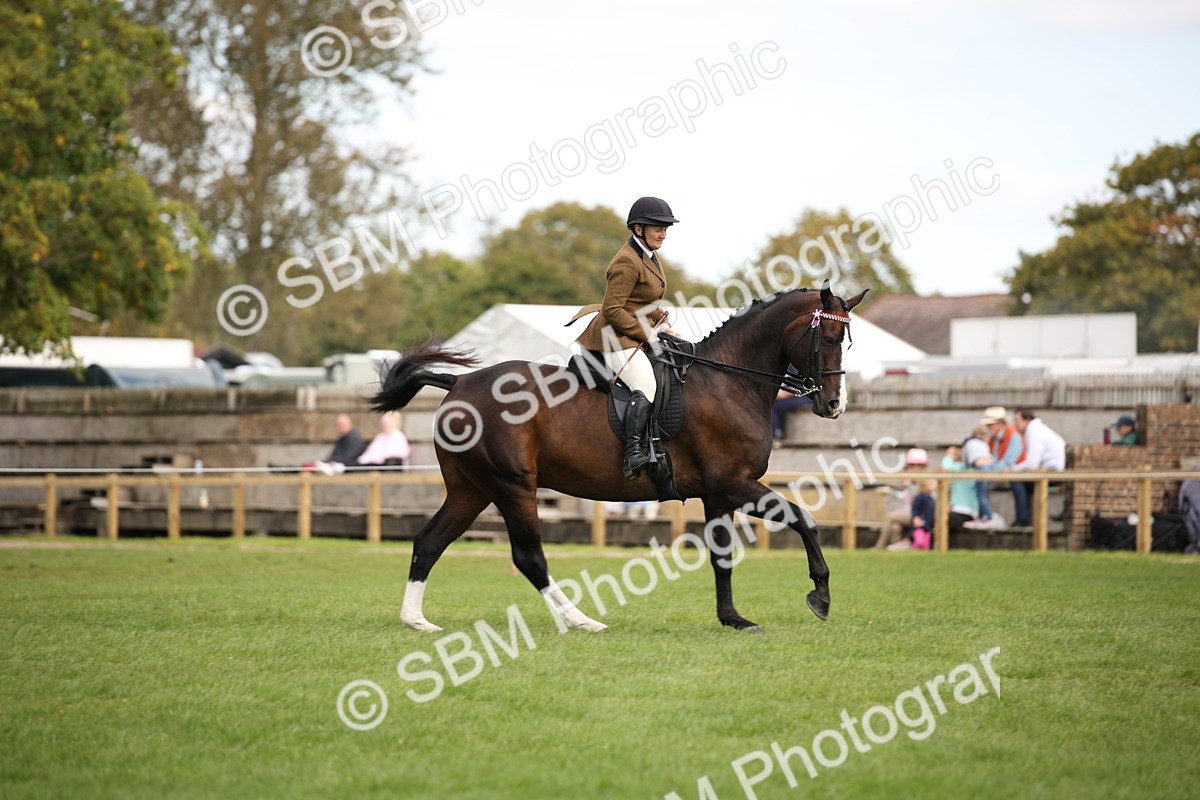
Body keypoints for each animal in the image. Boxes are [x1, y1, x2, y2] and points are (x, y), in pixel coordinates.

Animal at [369, 283, 867, 632]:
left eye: (846, 340)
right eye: (826, 337)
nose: (833, 405)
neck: (730, 382)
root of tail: (459, 384)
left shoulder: (717, 493)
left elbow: (721, 556)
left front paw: (733, 618)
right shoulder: (733, 484)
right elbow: (804, 519)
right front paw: (820, 595)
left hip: (472, 489)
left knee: (429, 541)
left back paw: (416, 621)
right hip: (512, 486)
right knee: (529, 557)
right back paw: (582, 620)